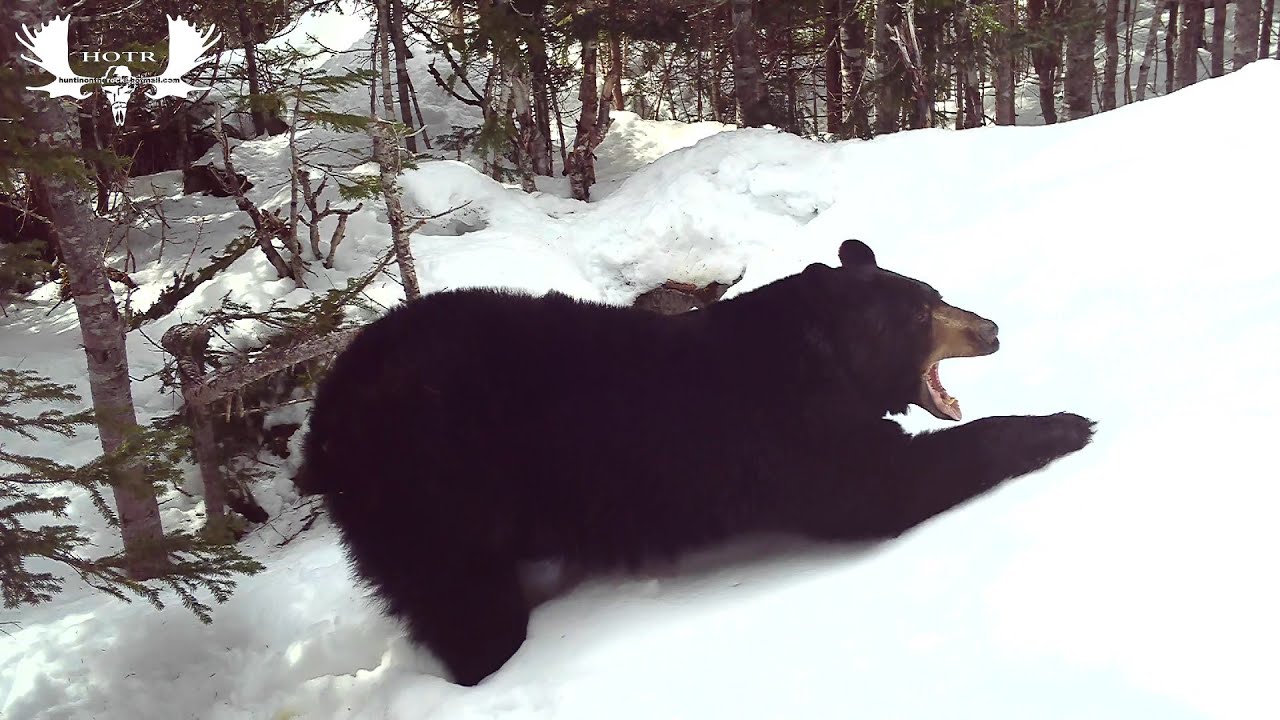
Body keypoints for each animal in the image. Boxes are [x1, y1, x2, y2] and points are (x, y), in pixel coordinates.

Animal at [303, 239, 1095, 687]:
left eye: (934, 294)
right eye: (923, 310)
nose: (991, 329)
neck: (823, 360)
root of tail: (323, 424)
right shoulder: (796, 436)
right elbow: (888, 487)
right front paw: (1065, 424)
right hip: (431, 502)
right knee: (466, 611)